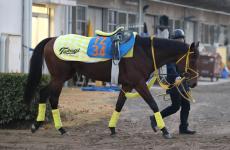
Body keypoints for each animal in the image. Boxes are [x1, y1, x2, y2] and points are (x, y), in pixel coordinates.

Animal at [23, 33, 199, 139]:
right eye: (194, 59)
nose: (193, 83)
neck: (144, 52)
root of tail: (52, 39)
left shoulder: (127, 84)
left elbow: (119, 105)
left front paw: (112, 128)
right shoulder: (139, 83)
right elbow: (153, 104)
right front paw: (164, 130)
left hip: (62, 76)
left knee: (45, 94)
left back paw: (41, 125)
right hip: (59, 77)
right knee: (51, 97)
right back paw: (56, 128)